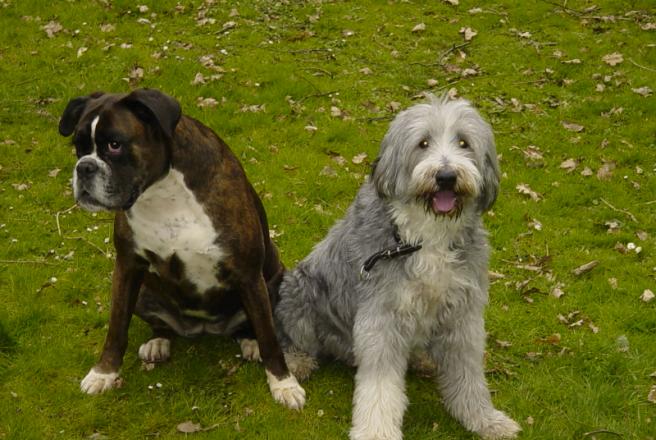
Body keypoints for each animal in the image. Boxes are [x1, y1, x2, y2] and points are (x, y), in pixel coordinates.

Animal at [58, 88, 305, 409]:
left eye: (114, 145)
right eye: (78, 147)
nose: (84, 167)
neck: (162, 193)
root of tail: (201, 329)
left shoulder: (248, 275)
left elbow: (268, 335)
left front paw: (284, 384)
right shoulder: (127, 267)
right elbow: (116, 327)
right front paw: (104, 373)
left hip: (273, 282)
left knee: (253, 325)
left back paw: (249, 342)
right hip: (144, 292)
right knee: (160, 324)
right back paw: (158, 342)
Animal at [275, 95, 521, 438]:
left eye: (463, 142)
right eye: (423, 143)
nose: (446, 176)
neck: (426, 236)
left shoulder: (463, 315)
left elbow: (469, 377)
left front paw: (484, 419)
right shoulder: (381, 318)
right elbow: (380, 388)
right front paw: (376, 433)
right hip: (301, 294)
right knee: (293, 339)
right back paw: (295, 363)